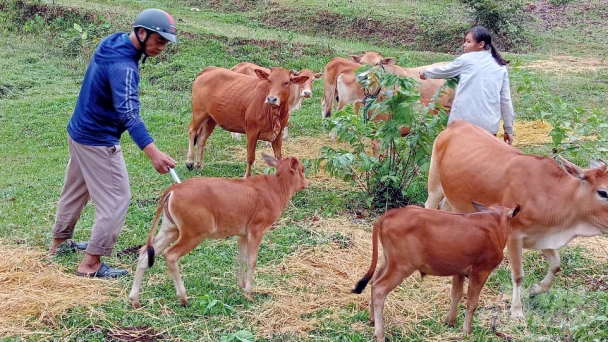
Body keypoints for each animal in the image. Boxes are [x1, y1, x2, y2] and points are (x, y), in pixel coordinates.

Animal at [129, 153, 308, 308]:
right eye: (303, 169)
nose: (306, 182)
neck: (276, 188)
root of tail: (174, 189)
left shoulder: (242, 234)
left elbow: (241, 259)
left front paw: (241, 285)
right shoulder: (256, 230)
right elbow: (252, 261)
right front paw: (249, 292)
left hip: (170, 229)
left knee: (145, 253)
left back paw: (135, 299)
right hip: (192, 234)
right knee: (170, 255)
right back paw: (183, 298)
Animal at [354, 202, 520, 340]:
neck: (495, 222)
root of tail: (392, 213)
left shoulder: (459, 270)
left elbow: (456, 294)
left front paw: (450, 322)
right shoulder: (481, 271)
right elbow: (472, 302)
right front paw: (467, 331)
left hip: (387, 261)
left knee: (373, 281)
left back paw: (372, 320)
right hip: (401, 267)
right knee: (379, 288)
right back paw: (380, 334)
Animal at [426, 119, 608, 318]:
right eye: (603, 192)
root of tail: (458, 123)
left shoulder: (541, 236)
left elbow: (556, 264)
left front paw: (536, 289)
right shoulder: (514, 236)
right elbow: (518, 275)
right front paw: (517, 310)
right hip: (434, 184)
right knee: (430, 206)